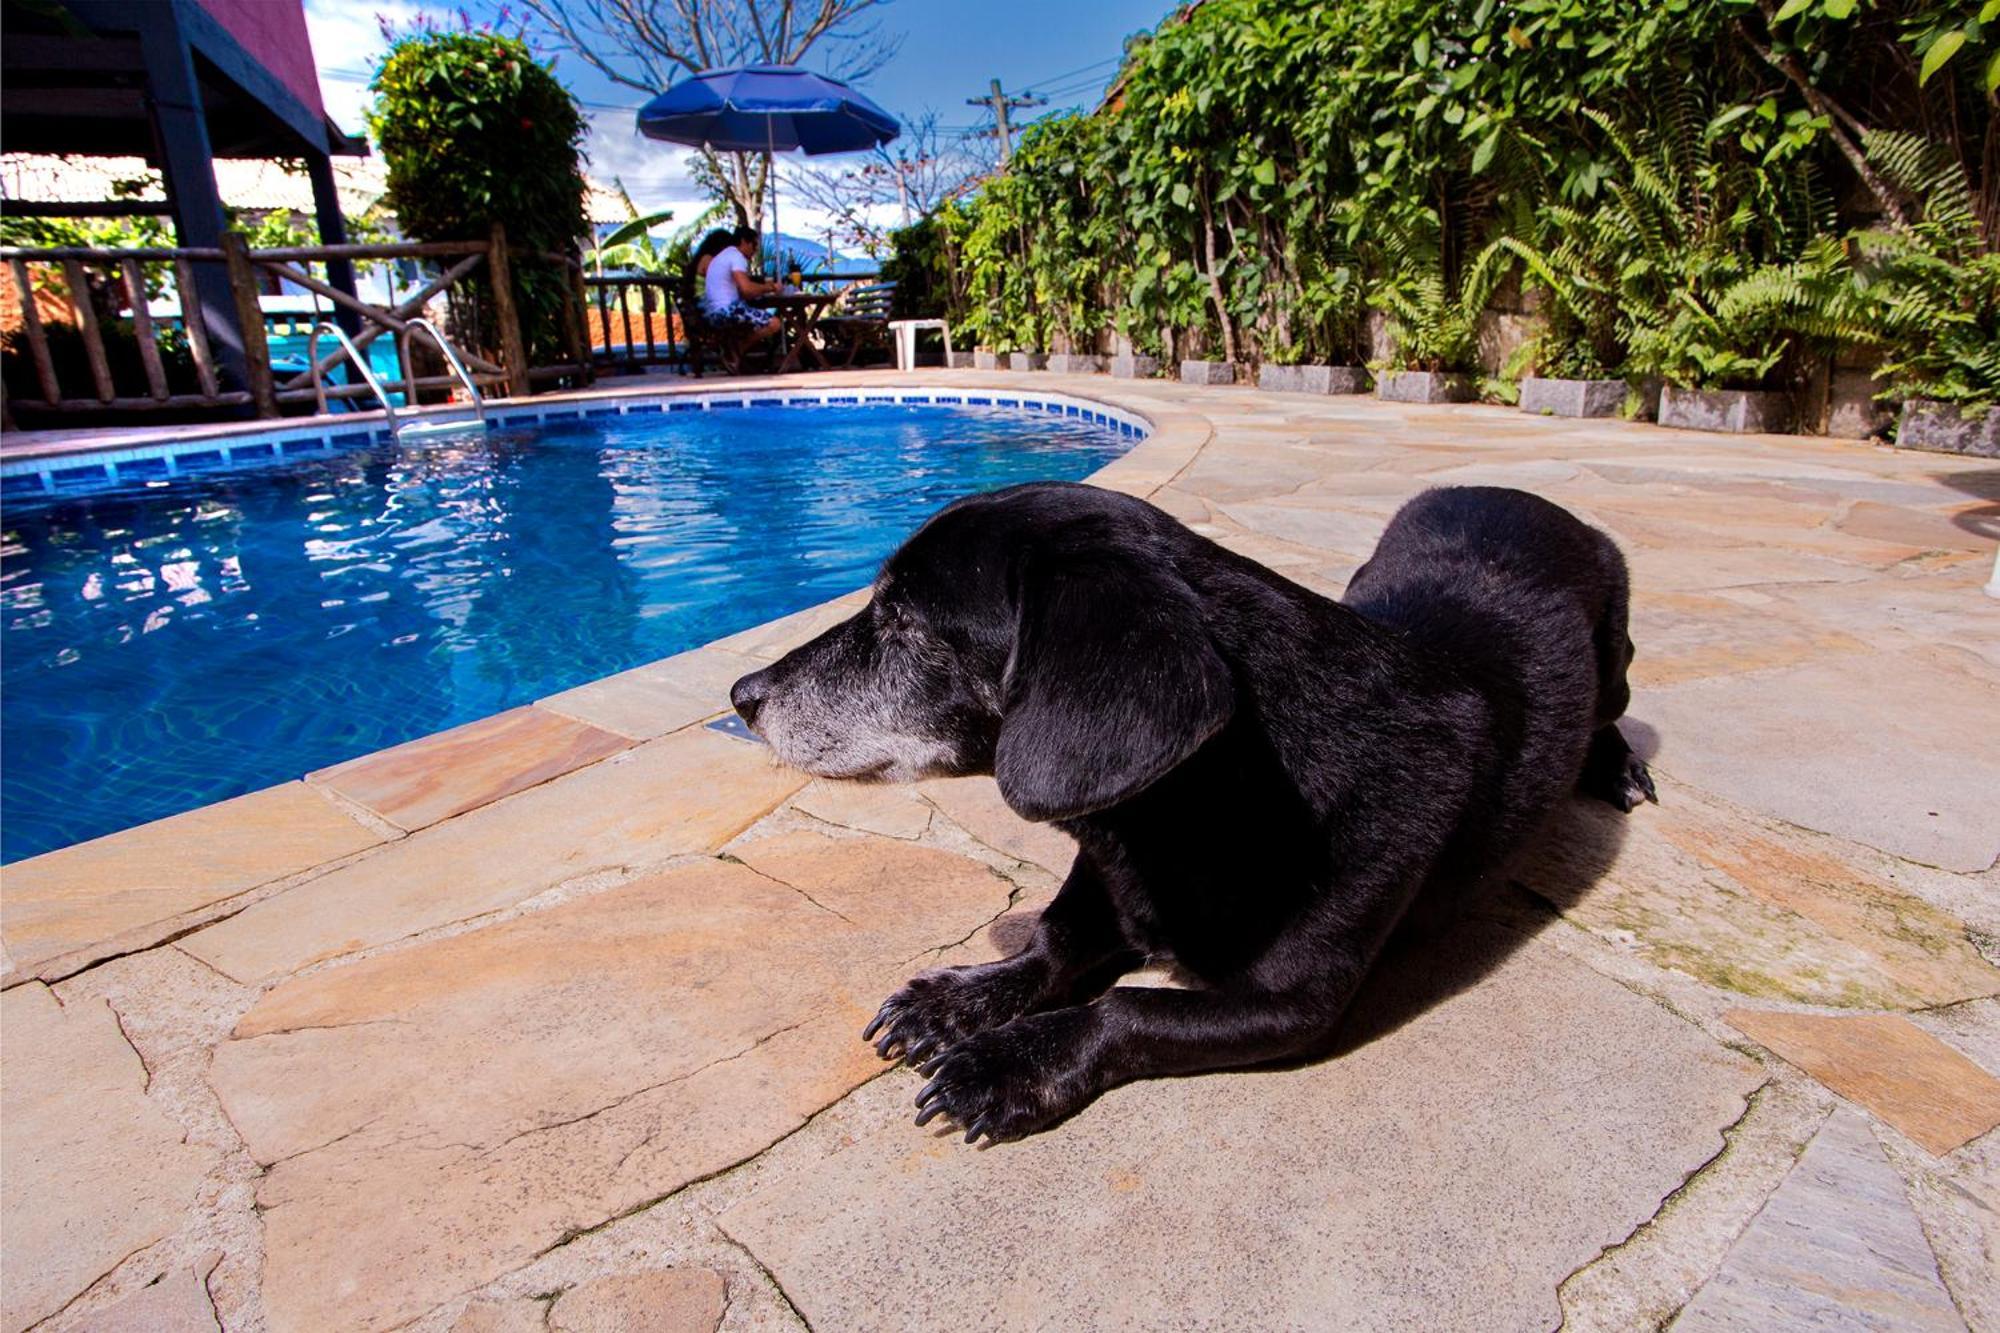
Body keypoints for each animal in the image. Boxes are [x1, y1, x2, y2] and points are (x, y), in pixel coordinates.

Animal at [728, 482, 1648, 1136]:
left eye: (902, 620)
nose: (742, 695)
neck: (1202, 806)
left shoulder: (1291, 1005)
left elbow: (1129, 1008)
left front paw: (1005, 1064)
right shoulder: (1108, 880)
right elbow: (1051, 942)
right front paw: (955, 1001)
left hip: (1615, 653)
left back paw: (1619, 766)